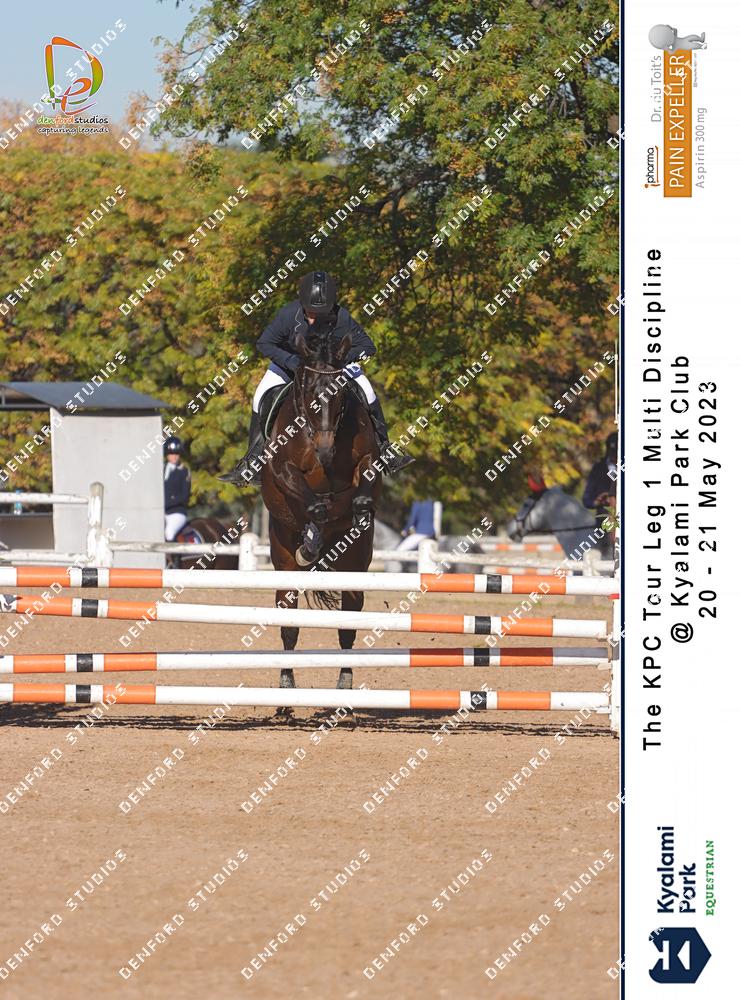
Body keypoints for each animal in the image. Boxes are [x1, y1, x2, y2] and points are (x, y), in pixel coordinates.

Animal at [260, 330, 382, 692]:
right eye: (311, 393)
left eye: (341, 393)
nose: (325, 452)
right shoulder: (284, 470)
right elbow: (313, 504)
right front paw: (310, 545)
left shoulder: (367, 460)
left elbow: (360, 492)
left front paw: (359, 517)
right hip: (283, 564)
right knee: (289, 625)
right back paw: (286, 686)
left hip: (355, 573)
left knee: (347, 626)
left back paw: (344, 683)